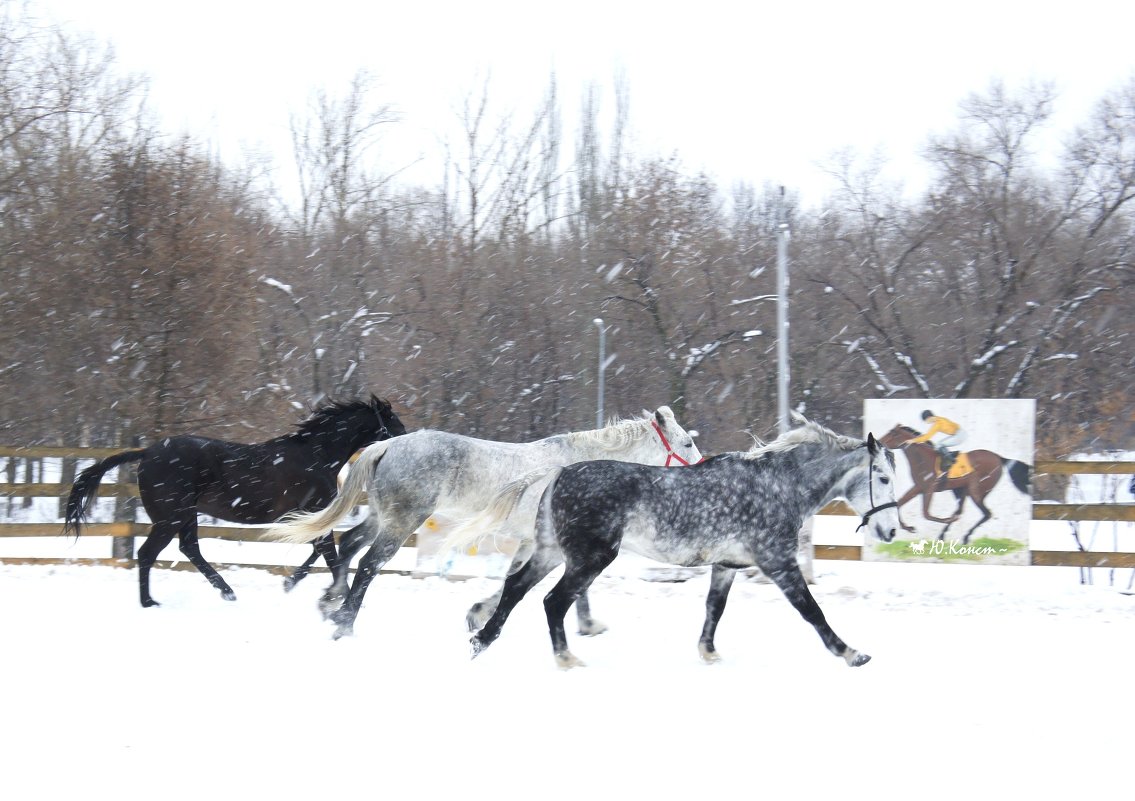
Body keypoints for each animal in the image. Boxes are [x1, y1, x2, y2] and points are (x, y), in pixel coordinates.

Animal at [64, 392, 406, 603]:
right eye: (395, 424)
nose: (408, 444)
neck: (317, 455)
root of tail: (147, 452)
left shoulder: (311, 517)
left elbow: (320, 553)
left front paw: (290, 584)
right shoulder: (314, 511)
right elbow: (330, 556)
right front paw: (339, 597)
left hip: (186, 515)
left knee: (190, 549)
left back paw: (227, 592)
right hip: (170, 517)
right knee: (148, 553)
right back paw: (150, 602)